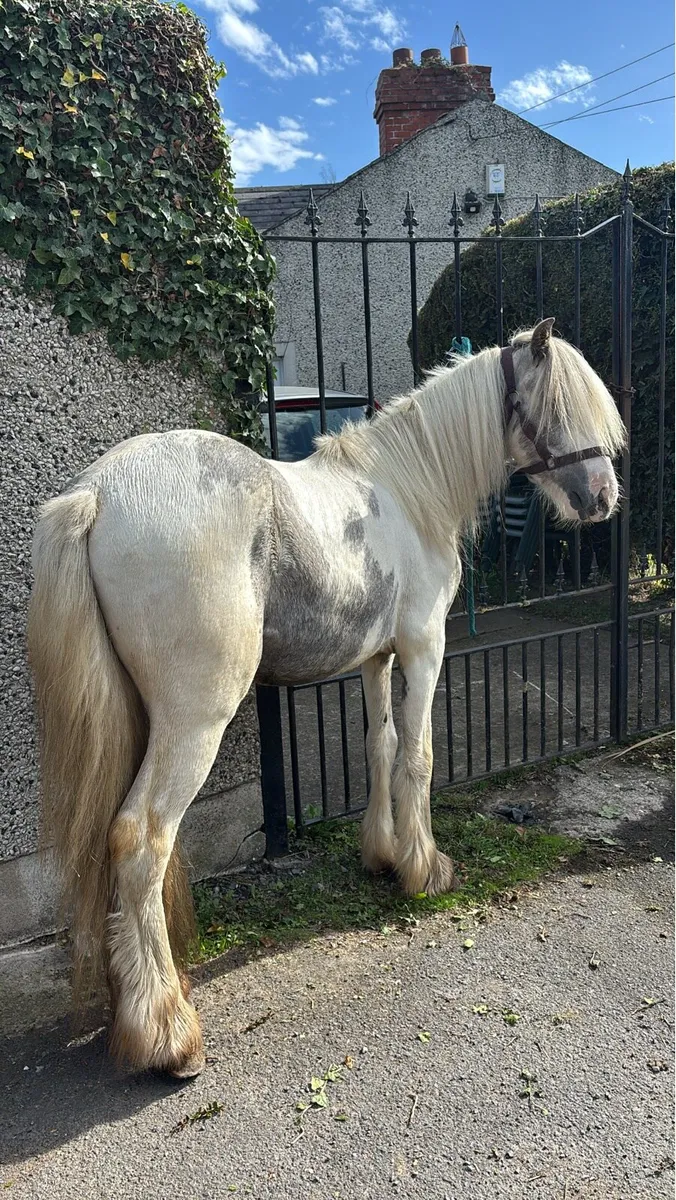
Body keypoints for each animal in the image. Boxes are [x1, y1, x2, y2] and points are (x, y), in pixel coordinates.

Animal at [27, 318, 626, 1078]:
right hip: (194, 722)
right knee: (141, 838)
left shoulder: (377, 658)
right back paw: (166, 1033)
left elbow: (380, 747)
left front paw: (383, 854)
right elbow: (418, 757)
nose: (603, 496)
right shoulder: (425, 648)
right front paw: (426, 870)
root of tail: (97, 495)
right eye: (556, 406)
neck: (409, 488)